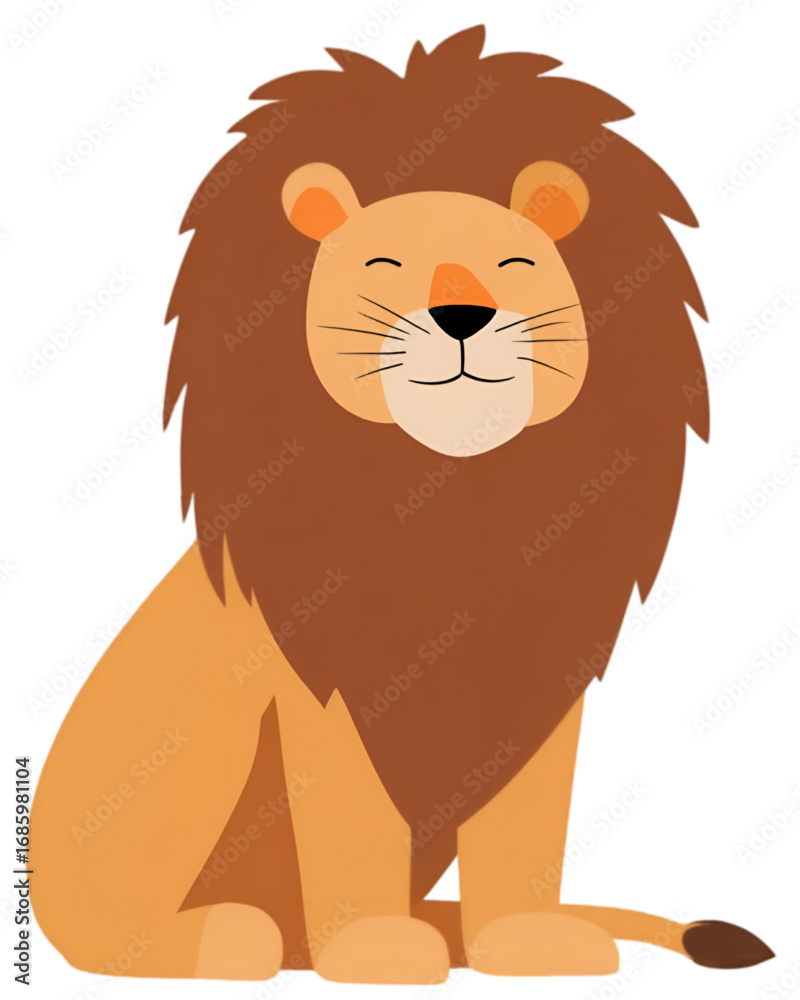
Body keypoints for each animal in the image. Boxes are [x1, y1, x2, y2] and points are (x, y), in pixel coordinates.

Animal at [32, 26, 773, 983]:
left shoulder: (537, 686)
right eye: (385, 265)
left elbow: (524, 830)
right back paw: (227, 937)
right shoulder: (328, 687)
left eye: (514, 264)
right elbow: (350, 821)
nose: (461, 312)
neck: (453, 491)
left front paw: (524, 941)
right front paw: (374, 947)